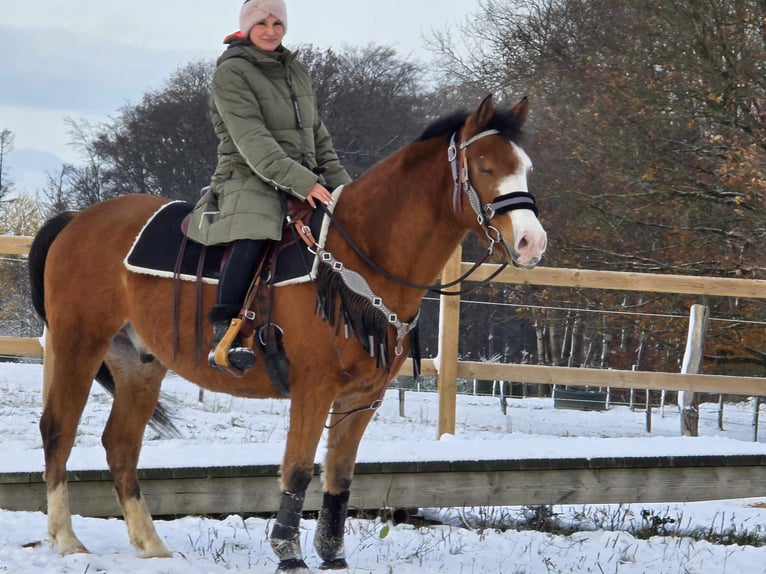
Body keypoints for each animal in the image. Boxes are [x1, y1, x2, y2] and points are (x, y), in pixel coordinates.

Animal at [28, 94, 544, 572]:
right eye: (485, 166)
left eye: (526, 168)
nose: (531, 242)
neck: (359, 255)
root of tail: (77, 218)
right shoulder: (313, 388)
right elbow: (297, 471)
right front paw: (288, 553)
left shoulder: (364, 397)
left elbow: (340, 475)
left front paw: (333, 556)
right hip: (78, 343)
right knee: (58, 429)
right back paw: (66, 538)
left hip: (138, 362)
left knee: (120, 444)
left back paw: (150, 544)